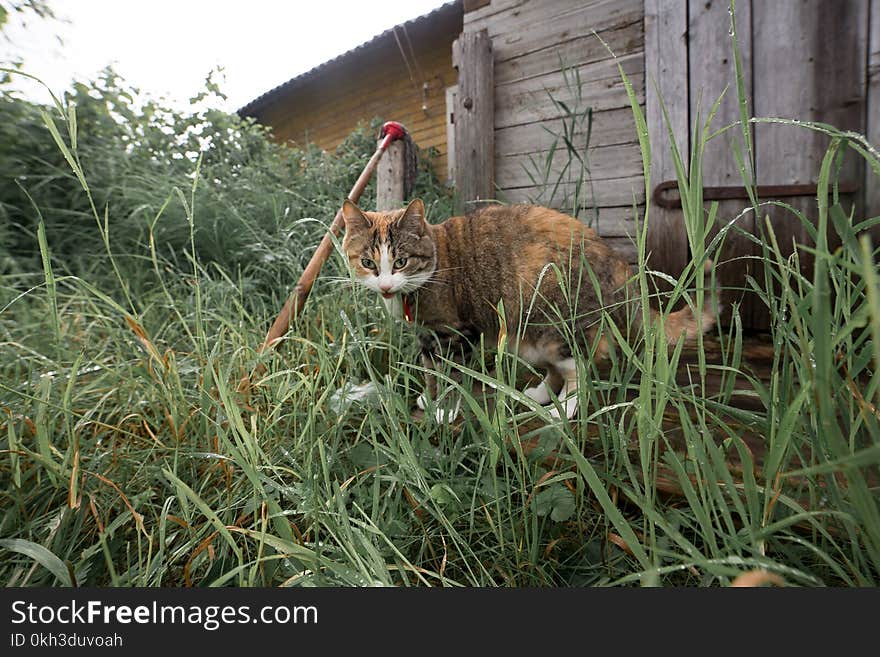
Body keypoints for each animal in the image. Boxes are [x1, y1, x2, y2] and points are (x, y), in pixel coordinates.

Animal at [338, 197, 716, 420]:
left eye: (400, 261)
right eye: (368, 262)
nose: (386, 286)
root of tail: (616, 261)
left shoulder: (456, 334)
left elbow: (452, 377)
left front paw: (445, 408)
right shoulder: (428, 337)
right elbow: (432, 373)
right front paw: (430, 400)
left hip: (554, 324)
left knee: (580, 368)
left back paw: (565, 408)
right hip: (526, 335)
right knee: (555, 368)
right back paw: (541, 393)